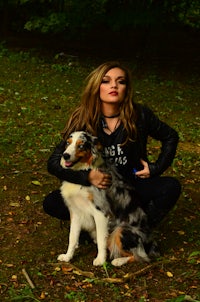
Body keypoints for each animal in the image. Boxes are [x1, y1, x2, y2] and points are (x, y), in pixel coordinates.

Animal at [56, 131, 158, 266]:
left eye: (81, 146)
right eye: (68, 143)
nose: (65, 155)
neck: (83, 170)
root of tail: (150, 243)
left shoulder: (101, 212)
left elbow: (101, 239)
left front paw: (100, 260)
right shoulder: (76, 212)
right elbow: (72, 237)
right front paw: (67, 257)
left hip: (121, 230)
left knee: (142, 256)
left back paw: (118, 261)